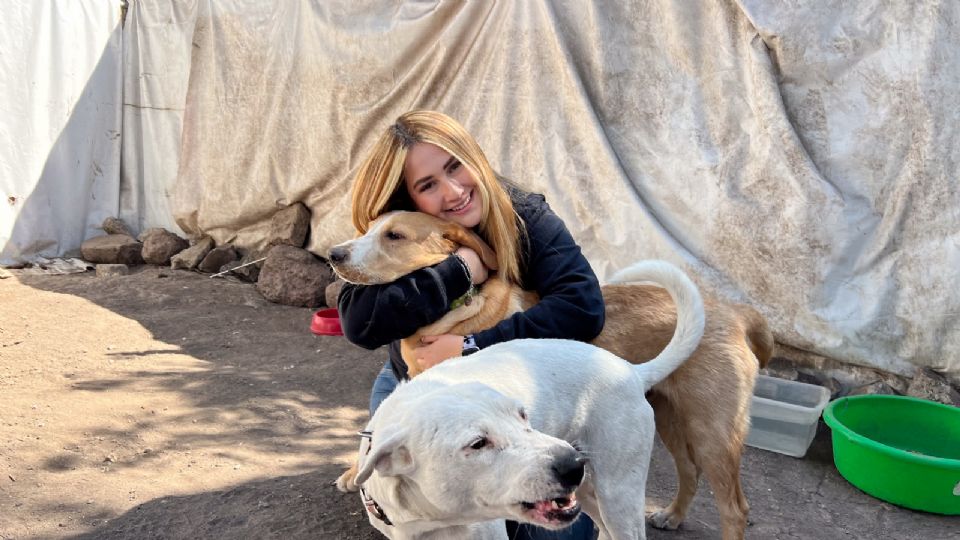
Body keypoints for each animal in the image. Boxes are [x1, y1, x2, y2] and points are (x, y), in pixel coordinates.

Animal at [352, 260, 704, 536]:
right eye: (477, 444)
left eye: (523, 416)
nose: (572, 464)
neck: (431, 518)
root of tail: (631, 370)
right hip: (588, 493)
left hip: (618, 492)